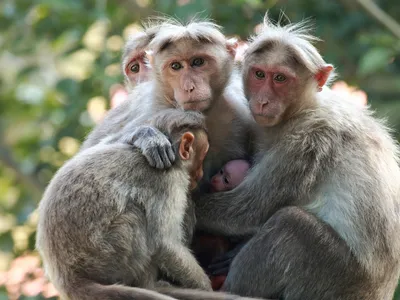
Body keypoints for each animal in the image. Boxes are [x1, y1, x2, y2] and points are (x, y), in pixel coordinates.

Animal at [191, 14, 400, 300]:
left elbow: (248, 210)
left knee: (290, 224)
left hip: (337, 279)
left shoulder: (307, 141)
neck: (301, 110)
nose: (263, 101)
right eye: (259, 74)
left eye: (280, 78)